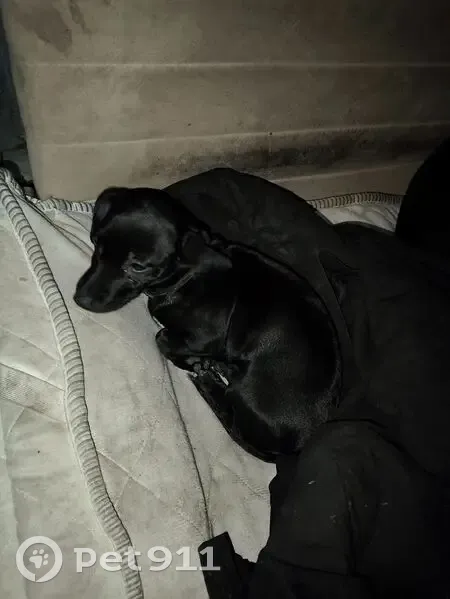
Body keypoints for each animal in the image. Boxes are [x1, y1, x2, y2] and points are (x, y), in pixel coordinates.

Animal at [74, 186, 342, 461]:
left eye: (138, 266)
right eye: (96, 242)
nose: (80, 299)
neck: (183, 277)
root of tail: (296, 446)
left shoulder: (206, 337)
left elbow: (162, 338)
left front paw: (193, 361)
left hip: (244, 389)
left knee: (229, 412)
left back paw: (207, 379)